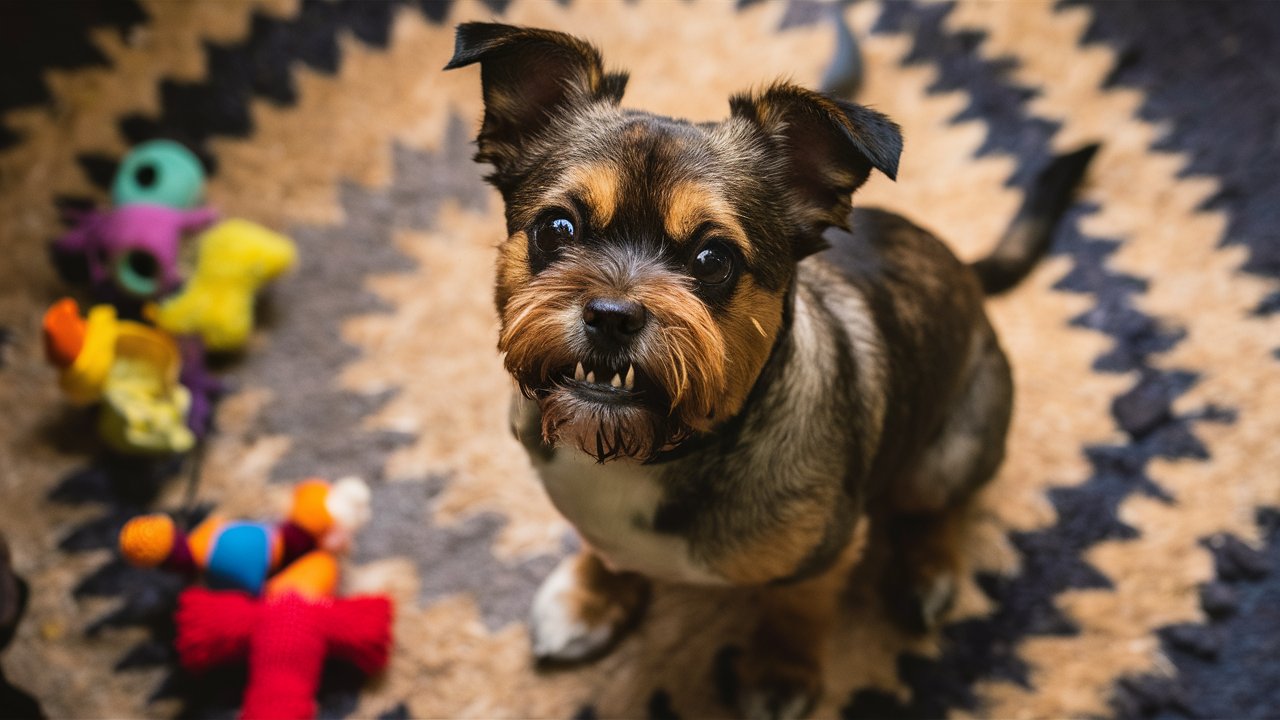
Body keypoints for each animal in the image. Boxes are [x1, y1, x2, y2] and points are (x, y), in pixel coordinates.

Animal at [448, 20, 1090, 712]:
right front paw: (593, 598)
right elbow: (605, 548)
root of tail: (966, 271)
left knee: (936, 506)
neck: (650, 454)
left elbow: (797, 607)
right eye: (558, 228)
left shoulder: (827, 552)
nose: (612, 315)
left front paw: (781, 671)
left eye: (712, 259)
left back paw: (927, 569)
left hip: (952, 449)